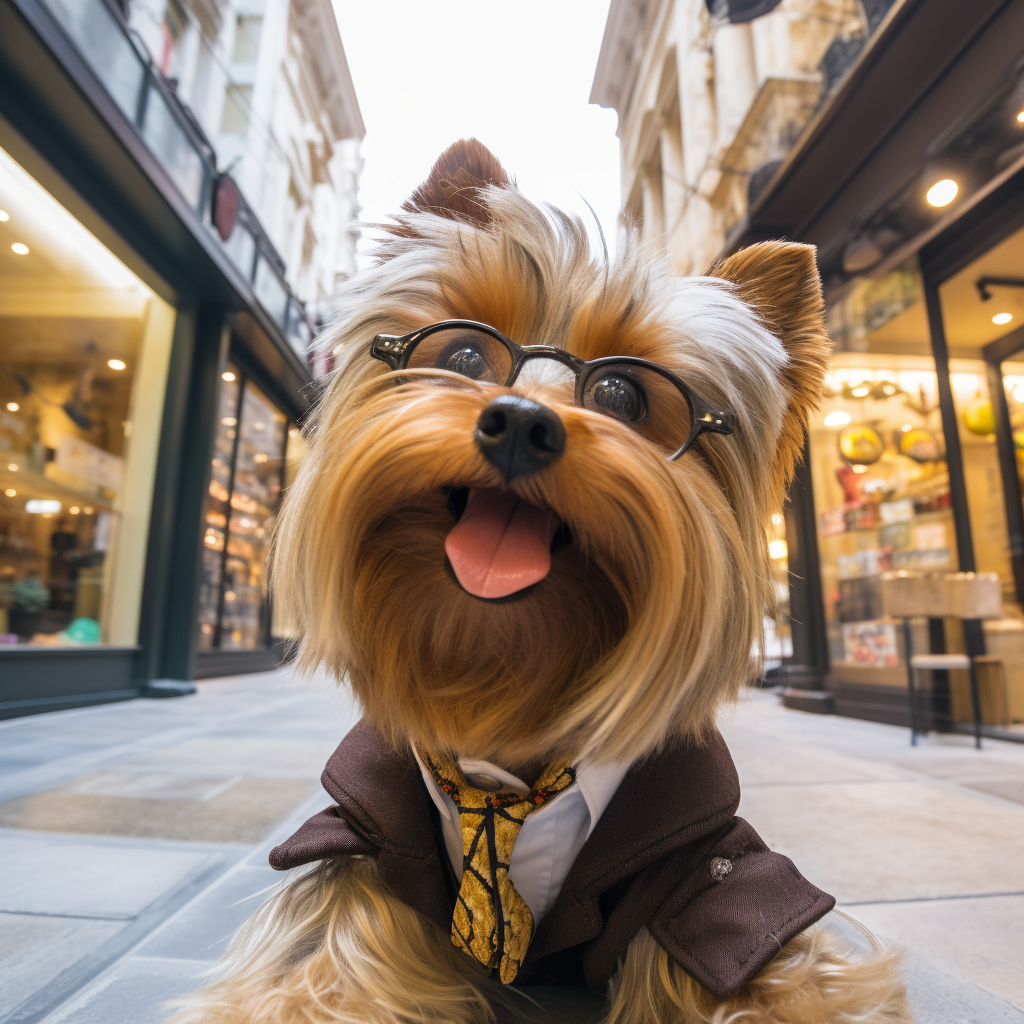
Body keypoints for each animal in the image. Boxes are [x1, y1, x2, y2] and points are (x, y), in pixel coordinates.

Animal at [169, 138, 913, 1024]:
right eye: (462, 354)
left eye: (625, 394)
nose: (522, 424)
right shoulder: (355, 839)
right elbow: (316, 962)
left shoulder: (712, 876)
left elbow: (759, 966)